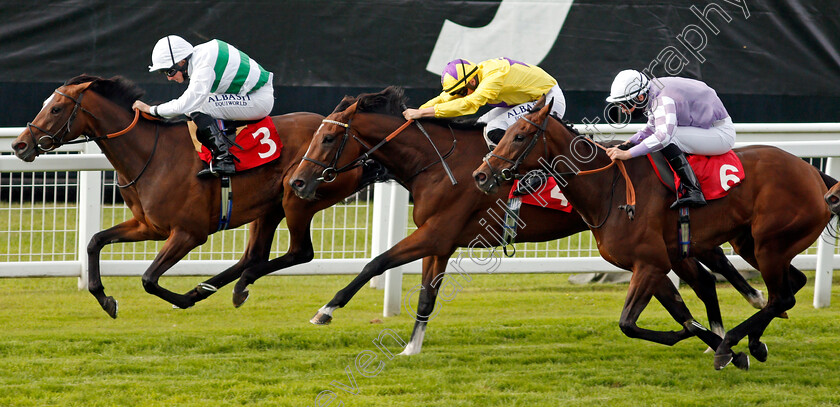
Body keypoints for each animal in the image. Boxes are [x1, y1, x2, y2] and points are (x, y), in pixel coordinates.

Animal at [10, 75, 374, 318]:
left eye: (56, 109)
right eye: (46, 105)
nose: (19, 144)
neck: (151, 155)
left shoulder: (189, 233)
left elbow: (148, 278)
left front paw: (180, 300)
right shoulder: (149, 226)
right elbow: (95, 241)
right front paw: (105, 298)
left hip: (297, 197)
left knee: (300, 252)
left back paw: (214, 290)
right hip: (268, 207)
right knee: (253, 256)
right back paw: (213, 288)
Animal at [290, 86, 768, 356]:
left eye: (328, 137)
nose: (296, 182)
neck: (436, 162)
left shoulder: (435, 233)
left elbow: (376, 263)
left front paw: (324, 311)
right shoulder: (441, 243)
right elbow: (425, 297)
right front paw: (411, 349)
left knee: (709, 275)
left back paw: (740, 323)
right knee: (702, 281)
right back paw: (728, 337)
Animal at [472, 97, 832, 372]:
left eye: (519, 136)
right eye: (503, 134)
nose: (481, 175)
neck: (608, 189)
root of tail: (813, 173)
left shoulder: (650, 263)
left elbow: (630, 324)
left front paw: (717, 345)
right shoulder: (651, 264)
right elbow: (681, 315)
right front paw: (726, 348)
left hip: (770, 245)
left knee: (781, 296)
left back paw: (734, 339)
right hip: (753, 244)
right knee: (788, 287)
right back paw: (752, 342)